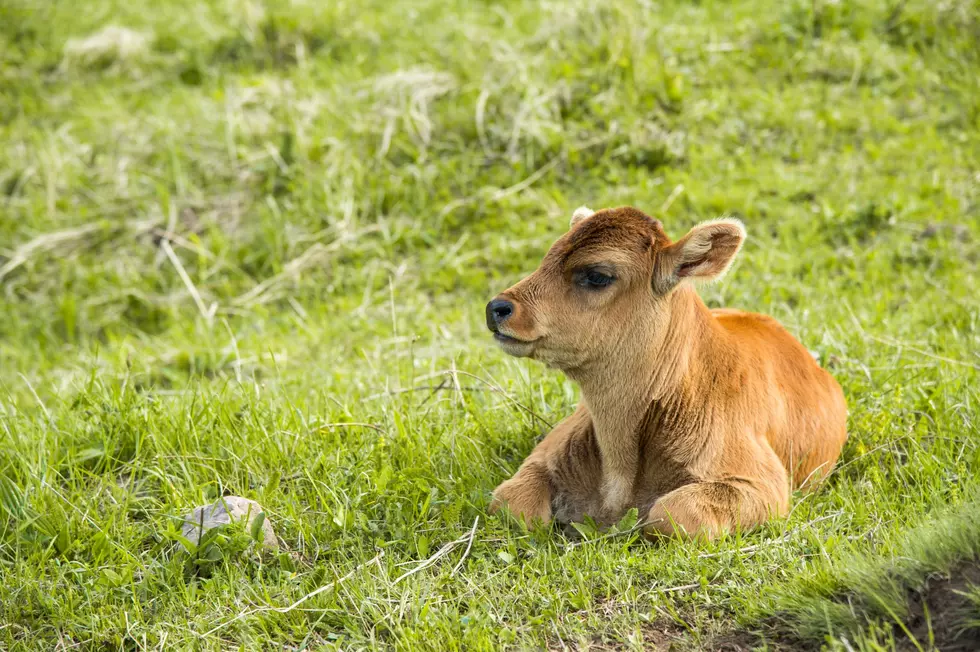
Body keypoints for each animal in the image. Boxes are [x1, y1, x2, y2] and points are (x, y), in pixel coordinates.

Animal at [486, 206, 848, 536]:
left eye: (597, 275)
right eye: (547, 257)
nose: (497, 308)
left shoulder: (762, 485)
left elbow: (671, 515)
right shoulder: (544, 454)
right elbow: (510, 504)